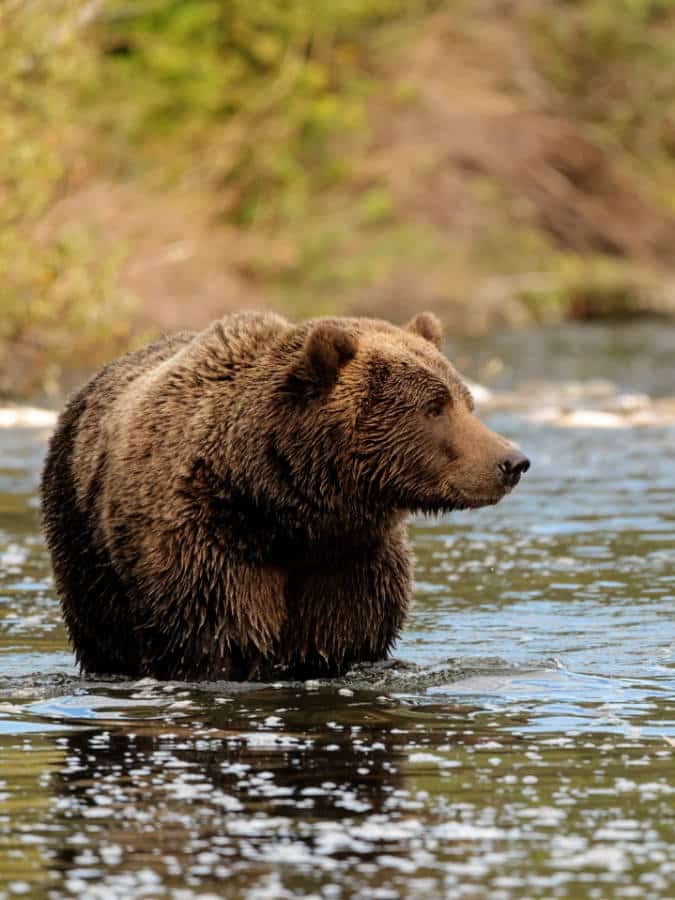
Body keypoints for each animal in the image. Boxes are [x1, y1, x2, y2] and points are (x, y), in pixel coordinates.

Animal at [40, 311, 529, 681]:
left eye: (468, 403)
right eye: (434, 407)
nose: (513, 461)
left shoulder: (349, 562)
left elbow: (345, 638)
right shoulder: (207, 549)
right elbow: (215, 638)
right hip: (85, 546)